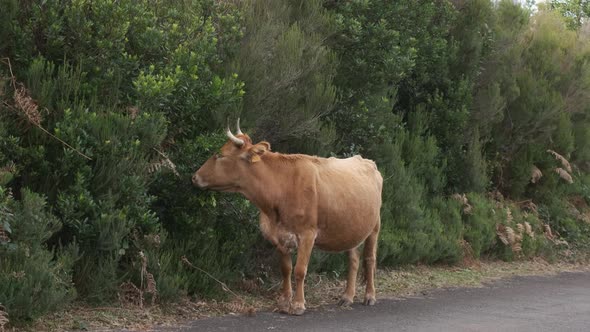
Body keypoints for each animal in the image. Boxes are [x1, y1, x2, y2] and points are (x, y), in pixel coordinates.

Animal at [193, 120, 384, 316]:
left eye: (220, 155)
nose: (195, 177)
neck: (282, 186)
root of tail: (366, 160)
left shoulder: (307, 234)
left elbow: (300, 270)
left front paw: (298, 304)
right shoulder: (279, 235)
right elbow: (286, 269)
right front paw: (284, 302)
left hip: (374, 227)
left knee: (370, 259)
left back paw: (369, 296)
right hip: (351, 227)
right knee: (353, 260)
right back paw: (346, 297)